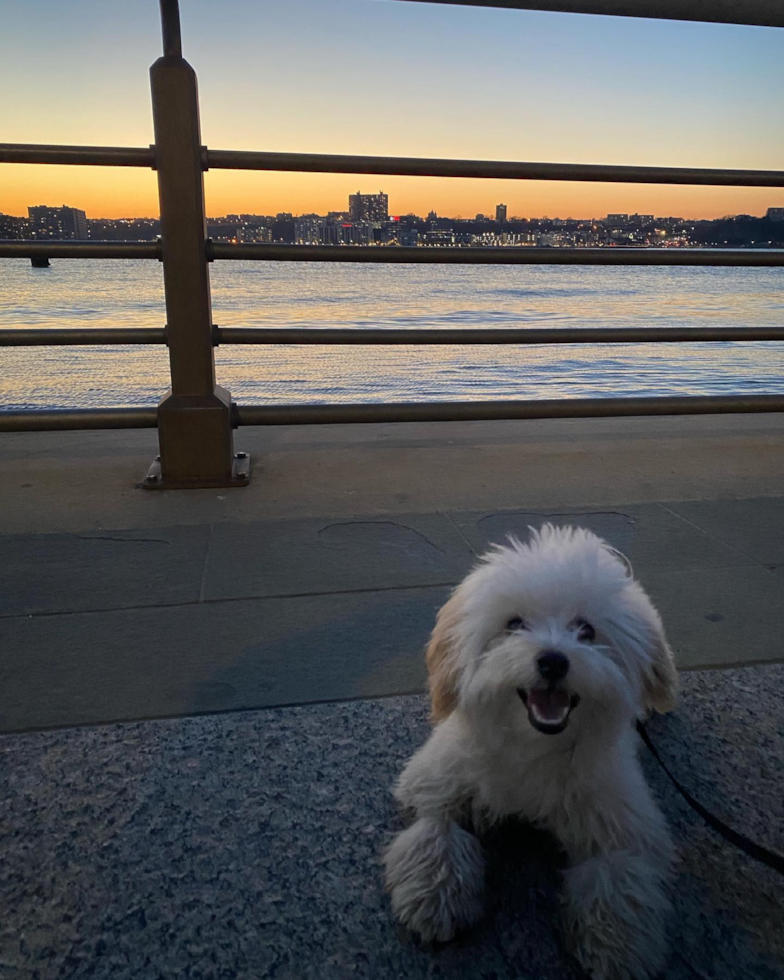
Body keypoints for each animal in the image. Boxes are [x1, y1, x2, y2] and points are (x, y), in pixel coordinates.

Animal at [382, 524, 676, 980]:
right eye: (514, 623)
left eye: (586, 630)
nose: (553, 661)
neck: (534, 746)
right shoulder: (440, 775)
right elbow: (437, 826)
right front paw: (433, 899)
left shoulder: (618, 813)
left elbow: (617, 873)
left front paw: (618, 947)